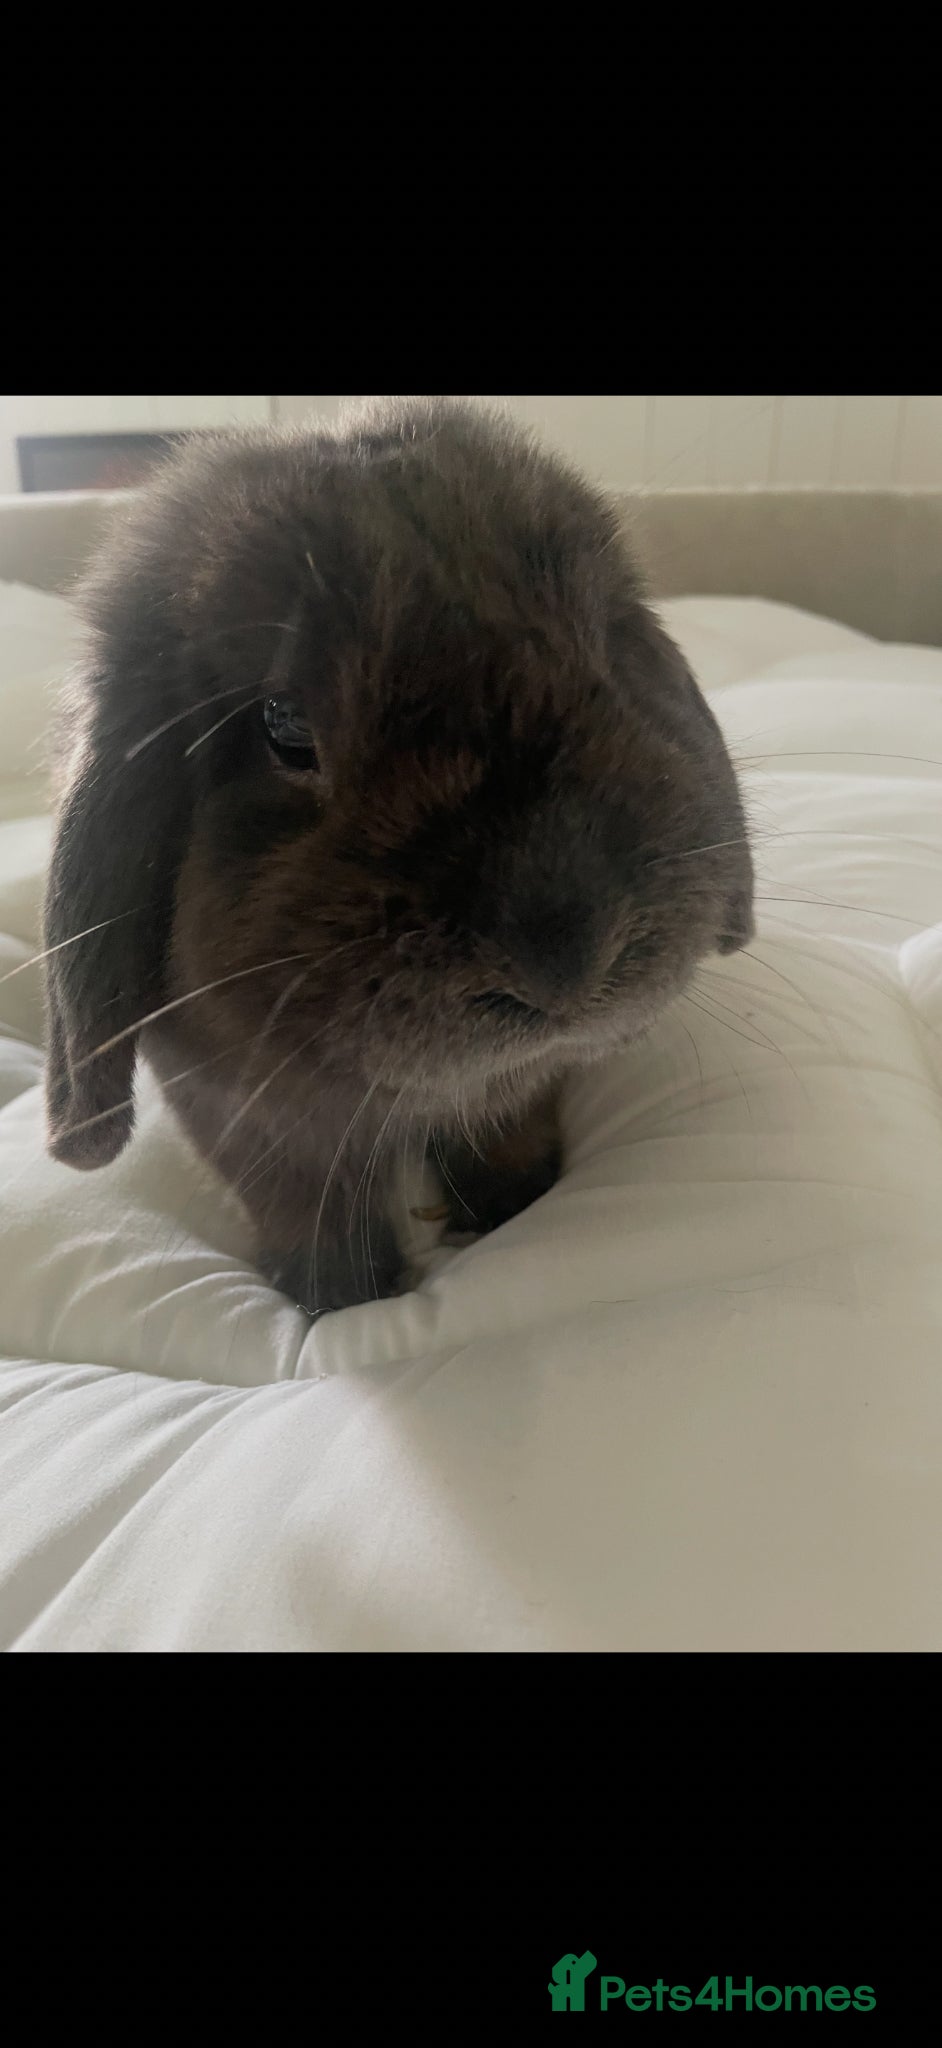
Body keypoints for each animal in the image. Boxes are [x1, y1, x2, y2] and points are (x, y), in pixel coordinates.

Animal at [42, 397, 754, 1315]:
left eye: (605, 653)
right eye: (283, 726)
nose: (566, 957)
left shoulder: (517, 1097)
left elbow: (504, 1144)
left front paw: (515, 1209)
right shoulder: (244, 1118)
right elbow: (313, 1211)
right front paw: (337, 1301)